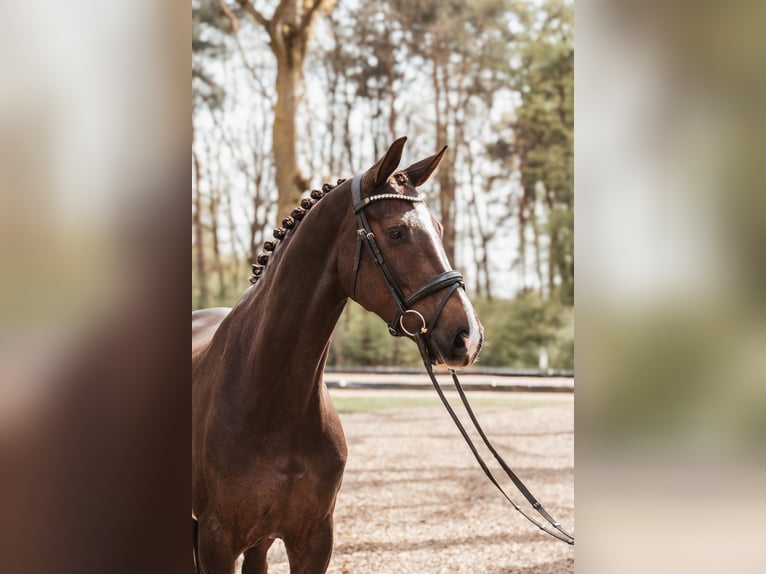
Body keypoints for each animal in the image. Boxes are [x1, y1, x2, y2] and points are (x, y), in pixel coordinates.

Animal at [192, 137, 483, 574]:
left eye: (439, 229)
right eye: (396, 232)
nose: (468, 337)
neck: (273, 399)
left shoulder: (314, 539)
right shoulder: (217, 540)